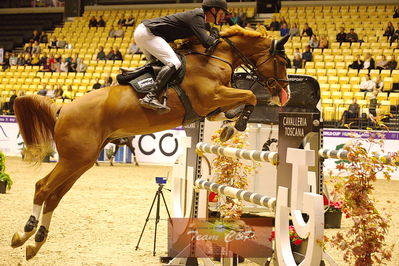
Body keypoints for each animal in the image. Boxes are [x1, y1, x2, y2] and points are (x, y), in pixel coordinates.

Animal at [10, 25, 290, 260]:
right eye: (281, 61)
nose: (283, 93)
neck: (214, 58)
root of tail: (63, 109)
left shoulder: (212, 106)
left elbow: (233, 107)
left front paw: (229, 129)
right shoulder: (211, 97)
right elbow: (250, 95)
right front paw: (238, 125)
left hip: (82, 161)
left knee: (55, 196)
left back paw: (35, 244)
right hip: (74, 159)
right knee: (43, 187)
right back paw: (24, 233)